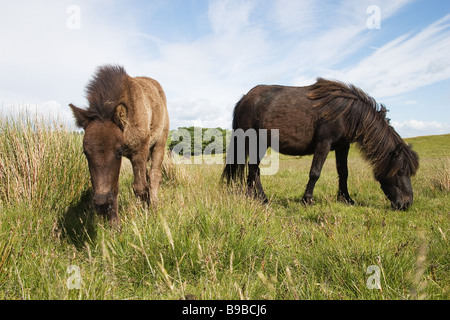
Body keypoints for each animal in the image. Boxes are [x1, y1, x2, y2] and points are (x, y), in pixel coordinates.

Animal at [70, 65, 169, 224]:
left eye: (118, 151)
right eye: (85, 152)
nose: (101, 204)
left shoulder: (139, 151)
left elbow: (140, 187)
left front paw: (146, 217)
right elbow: (114, 188)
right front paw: (115, 226)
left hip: (160, 143)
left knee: (154, 175)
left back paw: (154, 206)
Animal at [223, 77, 420, 210]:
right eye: (400, 171)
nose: (406, 204)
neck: (346, 113)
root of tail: (244, 99)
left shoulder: (343, 146)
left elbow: (343, 173)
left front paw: (346, 199)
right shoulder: (324, 144)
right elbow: (315, 173)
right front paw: (307, 200)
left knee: (253, 169)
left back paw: (255, 197)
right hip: (254, 141)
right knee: (253, 169)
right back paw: (260, 198)